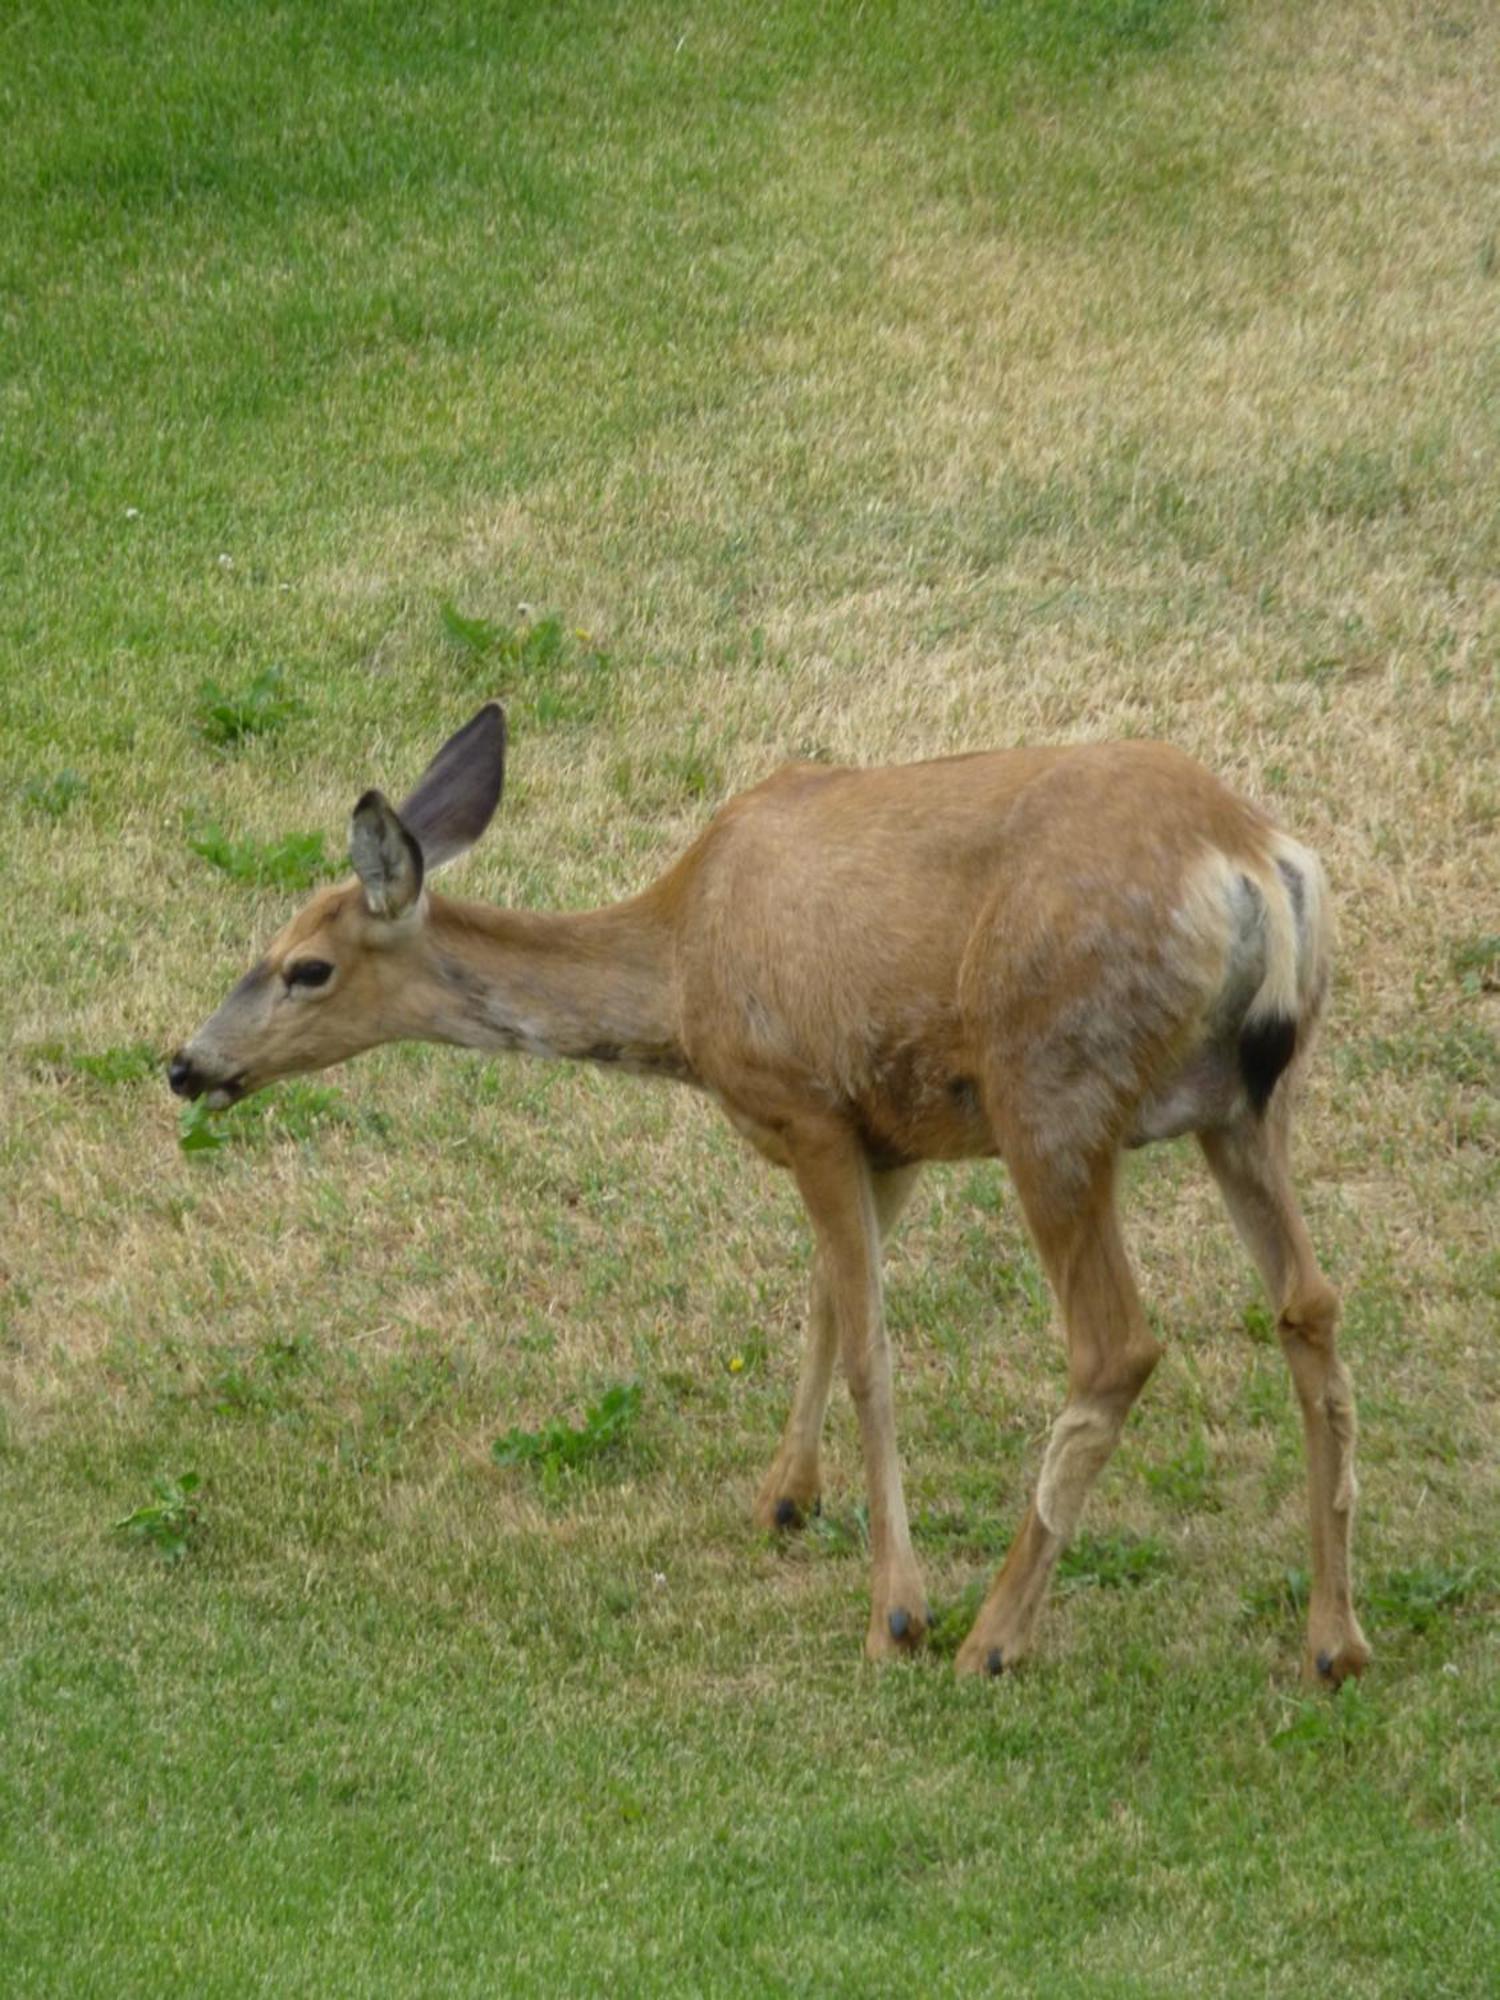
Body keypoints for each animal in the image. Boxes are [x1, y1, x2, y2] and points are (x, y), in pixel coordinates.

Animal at [167, 708, 1376, 1688]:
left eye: (306, 967)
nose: (186, 1063)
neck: (678, 970)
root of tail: (1253, 862)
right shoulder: (890, 1136)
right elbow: (823, 1305)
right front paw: (786, 1498)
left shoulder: (808, 1105)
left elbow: (868, 1344)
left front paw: (897, 1612)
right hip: (1245, 1100)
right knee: (1309, 1303)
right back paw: (1335, 1639)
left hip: (1055, 1087)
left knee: (1117, 1344)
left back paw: (993, 1636)